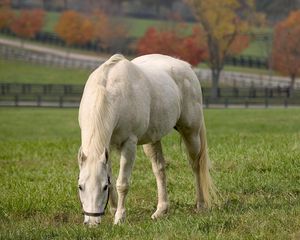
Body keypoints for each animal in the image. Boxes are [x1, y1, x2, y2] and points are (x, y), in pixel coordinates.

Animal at [77, 53, 213, 226]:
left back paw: (201, 205)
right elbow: (112, 177)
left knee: (196, 166)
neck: (110, 92)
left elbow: (122, 183)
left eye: (103, 187)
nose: (92, 222)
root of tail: (186, 66)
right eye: (80, 187)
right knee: (159, 169)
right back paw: (161, 211)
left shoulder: (129, 145)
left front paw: (120, 217)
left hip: (191, 133)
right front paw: (113, 210)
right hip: (153, 139)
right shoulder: (106, 147)